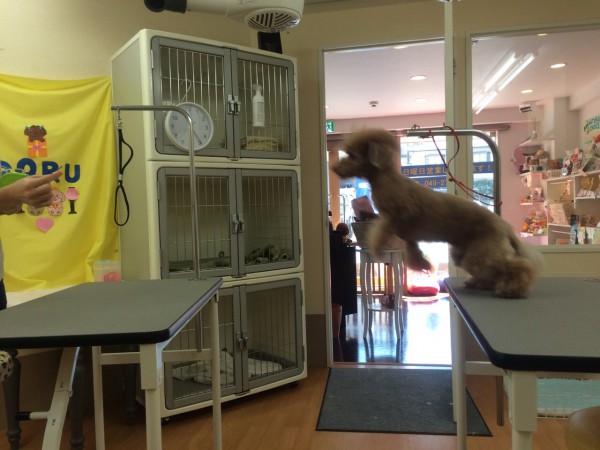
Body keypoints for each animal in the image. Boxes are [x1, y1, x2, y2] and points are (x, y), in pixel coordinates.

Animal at [332, 128, 542, 298]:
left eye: (352, 155)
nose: (334, 168)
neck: (385, 179)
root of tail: (504, 226)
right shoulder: (404, 232)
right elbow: (411, 249)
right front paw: (422, 264)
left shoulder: (399, 217)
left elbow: (383, 231)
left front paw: (378, 247)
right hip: (465, 254)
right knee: (492, 272)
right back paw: (481, 283)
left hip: (483, 253)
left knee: (520, 266)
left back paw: (512, 289)